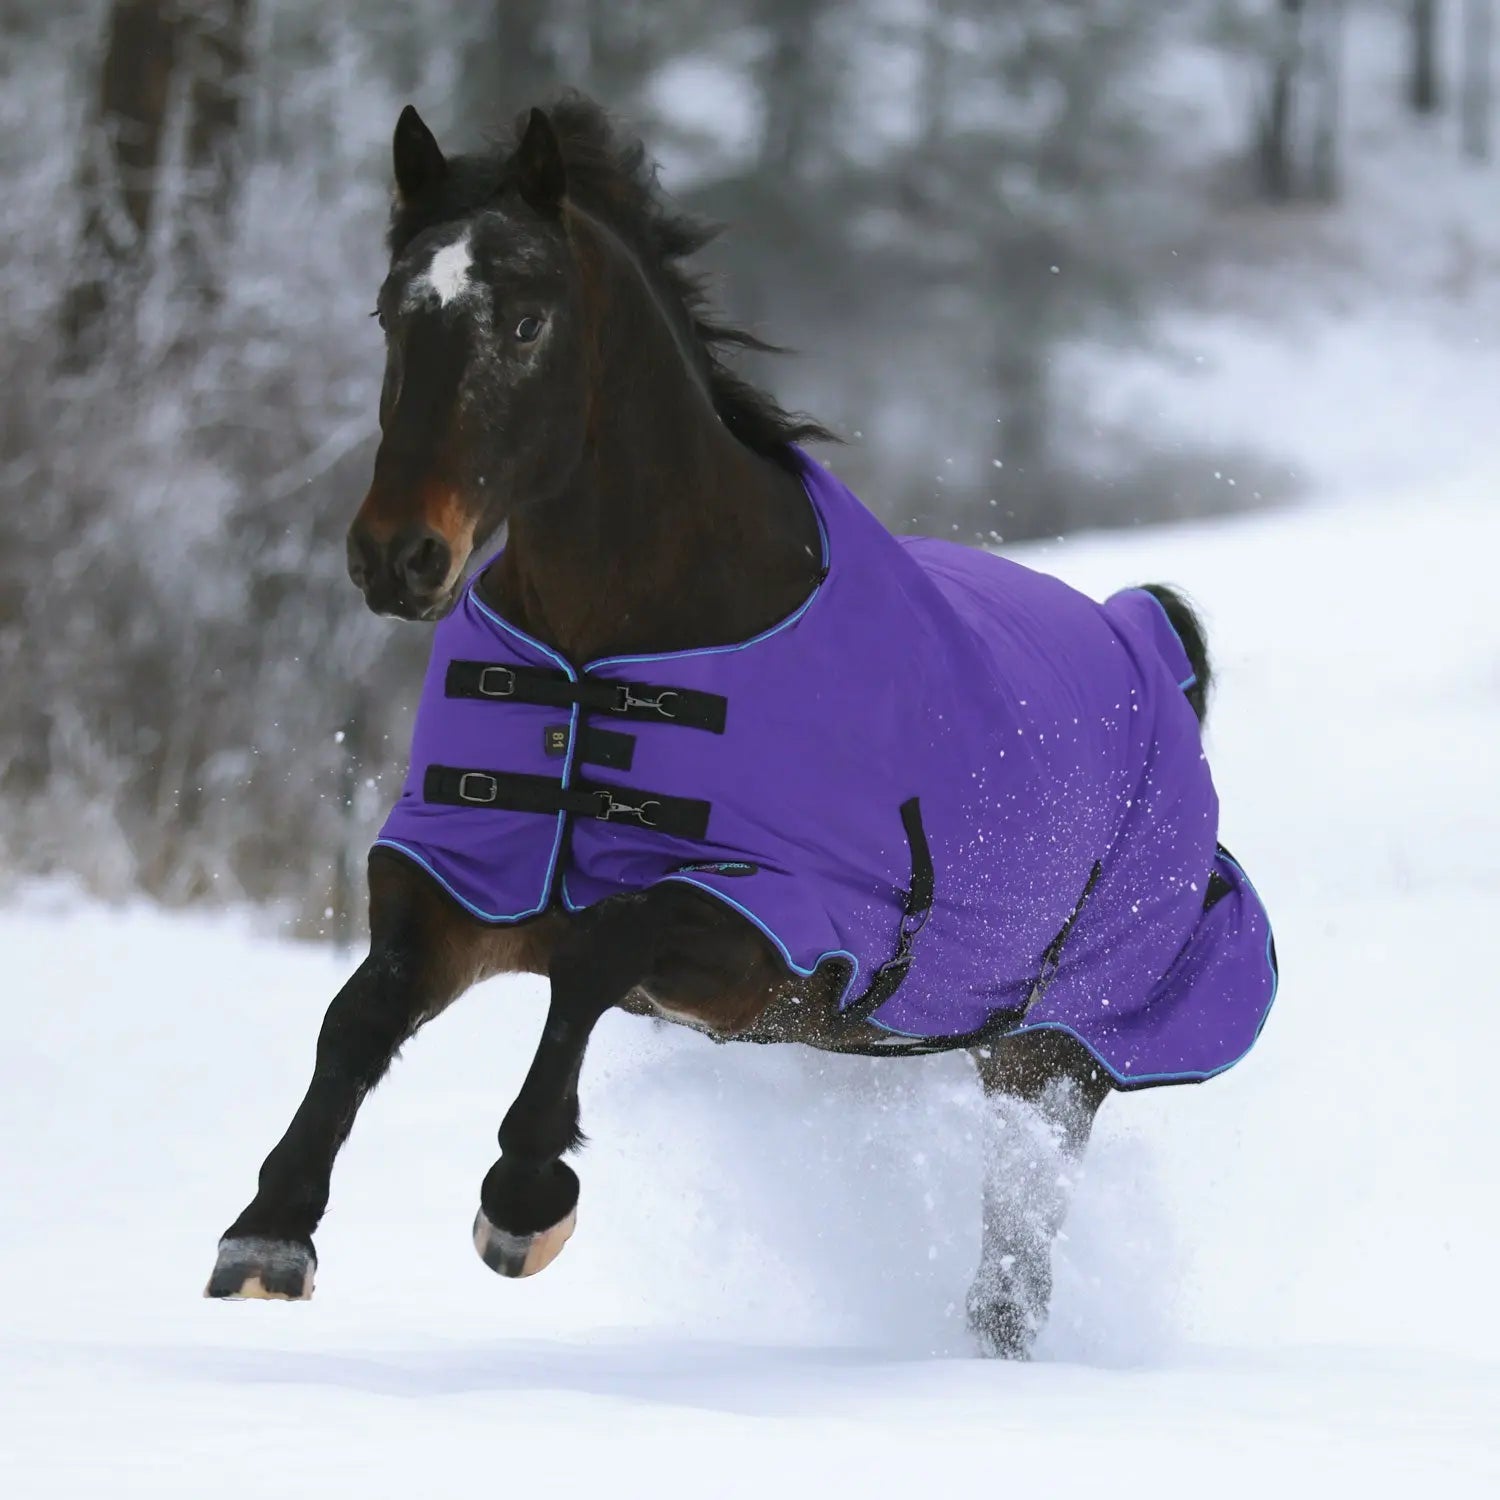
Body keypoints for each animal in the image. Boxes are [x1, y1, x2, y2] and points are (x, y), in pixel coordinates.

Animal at [205, 96, 1277, 1358]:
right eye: (390, 312)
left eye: (524, 321)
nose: (397, 555)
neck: (616, 645)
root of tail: (1151, 644)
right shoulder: (469, 878)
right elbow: (360, 1015)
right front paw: (269, 1232)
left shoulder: (769, 930)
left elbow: (598, 956)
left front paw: (524, 1198)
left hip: (1055, 1056)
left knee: (1015, 1264)